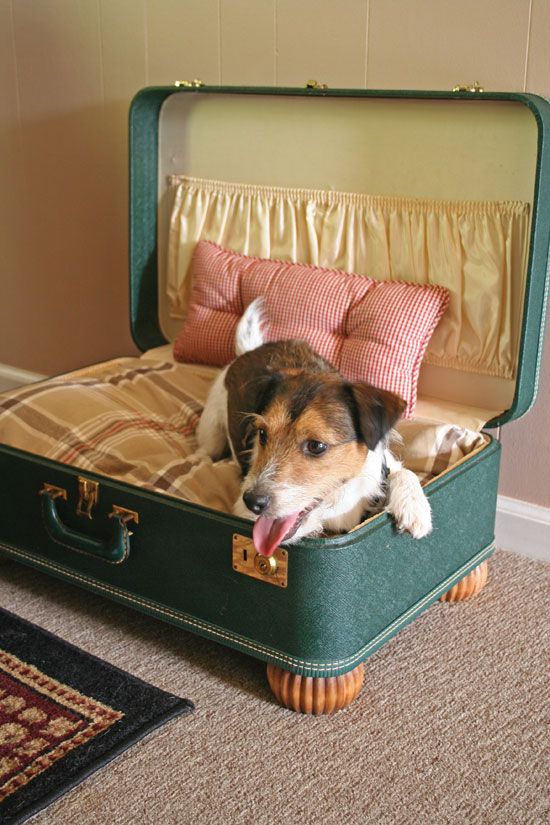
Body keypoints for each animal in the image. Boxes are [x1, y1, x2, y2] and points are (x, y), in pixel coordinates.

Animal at [196, 300, 434, 556]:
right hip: (212, 429)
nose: (252, 502)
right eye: (262, 434)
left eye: (316, 446)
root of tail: (251, 350)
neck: (335, 504)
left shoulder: (384, 465)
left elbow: (404, 472)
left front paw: (414, 507)